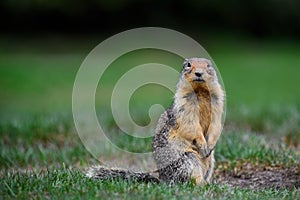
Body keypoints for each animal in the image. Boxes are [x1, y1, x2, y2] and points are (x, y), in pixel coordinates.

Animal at [85, 57, 224, 185]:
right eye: (188, 64)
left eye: (209, 65)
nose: (199, 73)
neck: (200, 91)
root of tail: (161, 177)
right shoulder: (184, 108)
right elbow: (191, 126)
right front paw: (203, 145)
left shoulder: (217, 106)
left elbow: (215, 126)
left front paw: (210, 145)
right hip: (187, 160)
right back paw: (201, 185)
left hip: (210, 163)